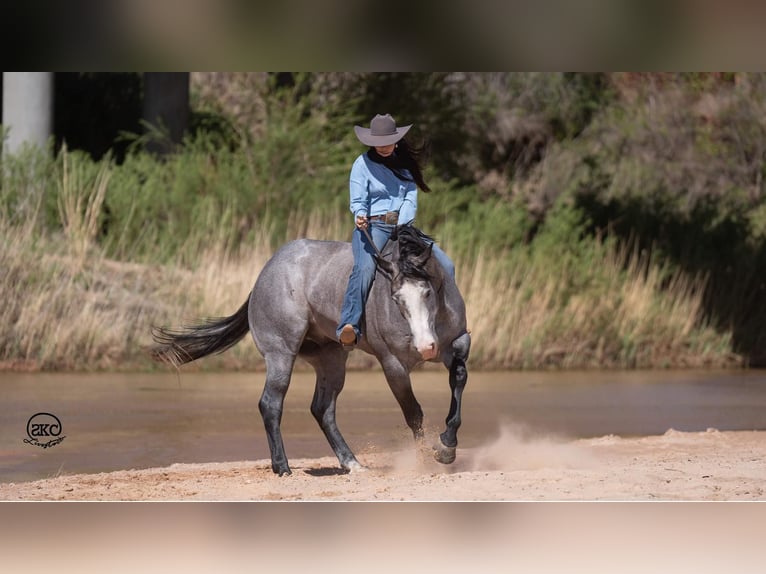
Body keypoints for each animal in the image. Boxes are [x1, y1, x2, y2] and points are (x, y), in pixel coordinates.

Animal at [151, 225, 472, 476]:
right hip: (281, 355)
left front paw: (447, 446)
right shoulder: (392, 364)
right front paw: (427, 458)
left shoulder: (458, 344)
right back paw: (282, 467)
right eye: (396, 298)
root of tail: (266, 273)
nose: (426, 347)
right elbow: (413, 412)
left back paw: (352, 463)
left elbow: (458, 383)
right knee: (270, 404)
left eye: (428, 292)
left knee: (322, 409)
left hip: (331, 359)